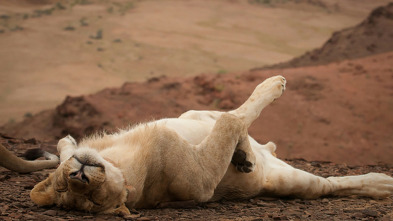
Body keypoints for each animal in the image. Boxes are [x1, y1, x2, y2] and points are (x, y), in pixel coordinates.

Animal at [29, 76, 392, 216]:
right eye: (92, 199)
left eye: (62, 184)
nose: (79, 175)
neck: (121, 158)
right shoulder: (200, 180)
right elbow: (234, 118)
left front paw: (66, 142)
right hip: (293, 182)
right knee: (329, 184)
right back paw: (381, 184)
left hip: (191, 113)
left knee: (226, 121)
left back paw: (248, 152)